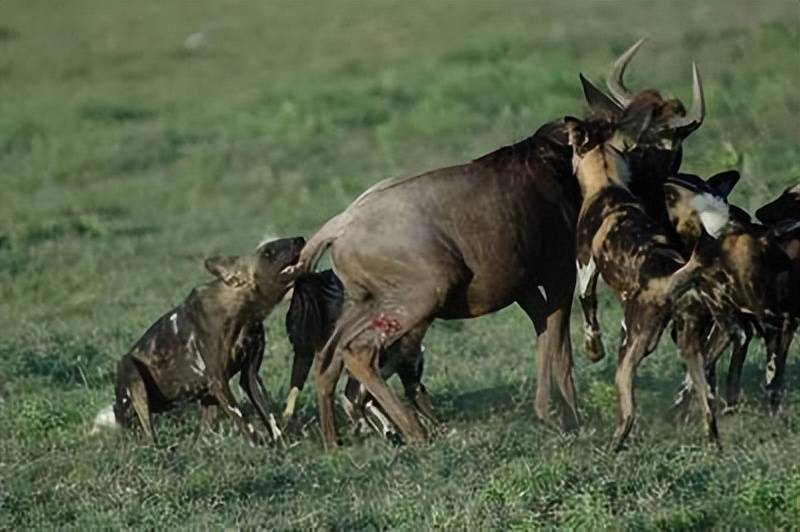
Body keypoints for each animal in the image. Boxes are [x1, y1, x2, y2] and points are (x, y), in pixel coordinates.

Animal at [109, 237, 304, 444]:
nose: (299, 239)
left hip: (208, 401)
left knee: (202, 436)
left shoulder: (250, 376)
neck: (242, 315)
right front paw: (259, 446)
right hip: (132, 374)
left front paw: (281, 445)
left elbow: (270, 418)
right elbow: (245, 423)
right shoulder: (219, 381)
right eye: (268, 253)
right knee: (150, 437)